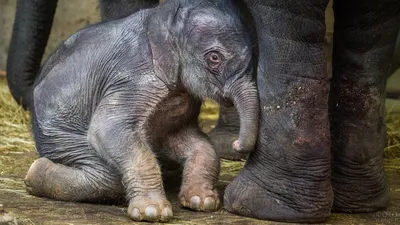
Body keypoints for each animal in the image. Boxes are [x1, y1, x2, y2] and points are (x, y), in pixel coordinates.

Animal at [24, 0, 260, 221]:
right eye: (214, 58)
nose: (237, 145)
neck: (163, 18)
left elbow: (192, 140)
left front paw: (201, 201)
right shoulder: (135, 76)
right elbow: (108, 127)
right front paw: (152, 212)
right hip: (61, 139)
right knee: (107, 177)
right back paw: (35, 171)